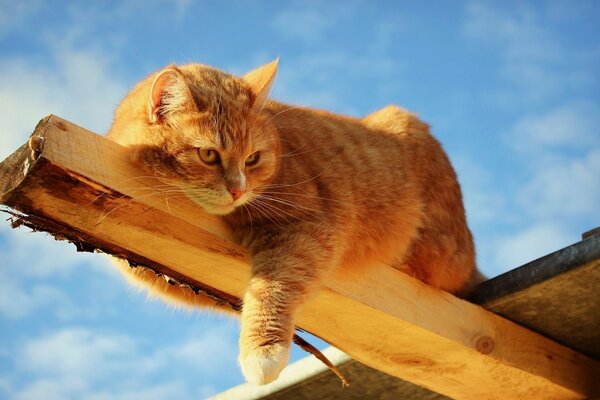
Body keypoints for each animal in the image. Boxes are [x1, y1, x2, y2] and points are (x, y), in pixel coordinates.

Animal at [106, 58, 478, 384]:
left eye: (252, 159)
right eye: (209, 154)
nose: (239, 189)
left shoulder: (307, 230)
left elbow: (272, 285)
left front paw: (263, 352)